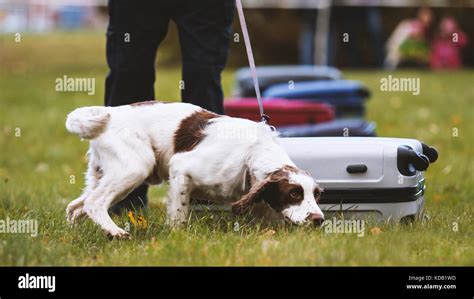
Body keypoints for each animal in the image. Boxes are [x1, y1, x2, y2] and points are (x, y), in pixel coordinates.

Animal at [66, 102, 324, 238]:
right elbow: (179, 213)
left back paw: (73, 236)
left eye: (317, 195)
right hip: (135, 167)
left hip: (102, 174)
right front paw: (176, 235)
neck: (253, 153)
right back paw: (116, 232)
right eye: (294, 193)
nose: (319, 219)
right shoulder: (181, 168)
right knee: (93, 203)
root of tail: (111, 111)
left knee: (75, 207)